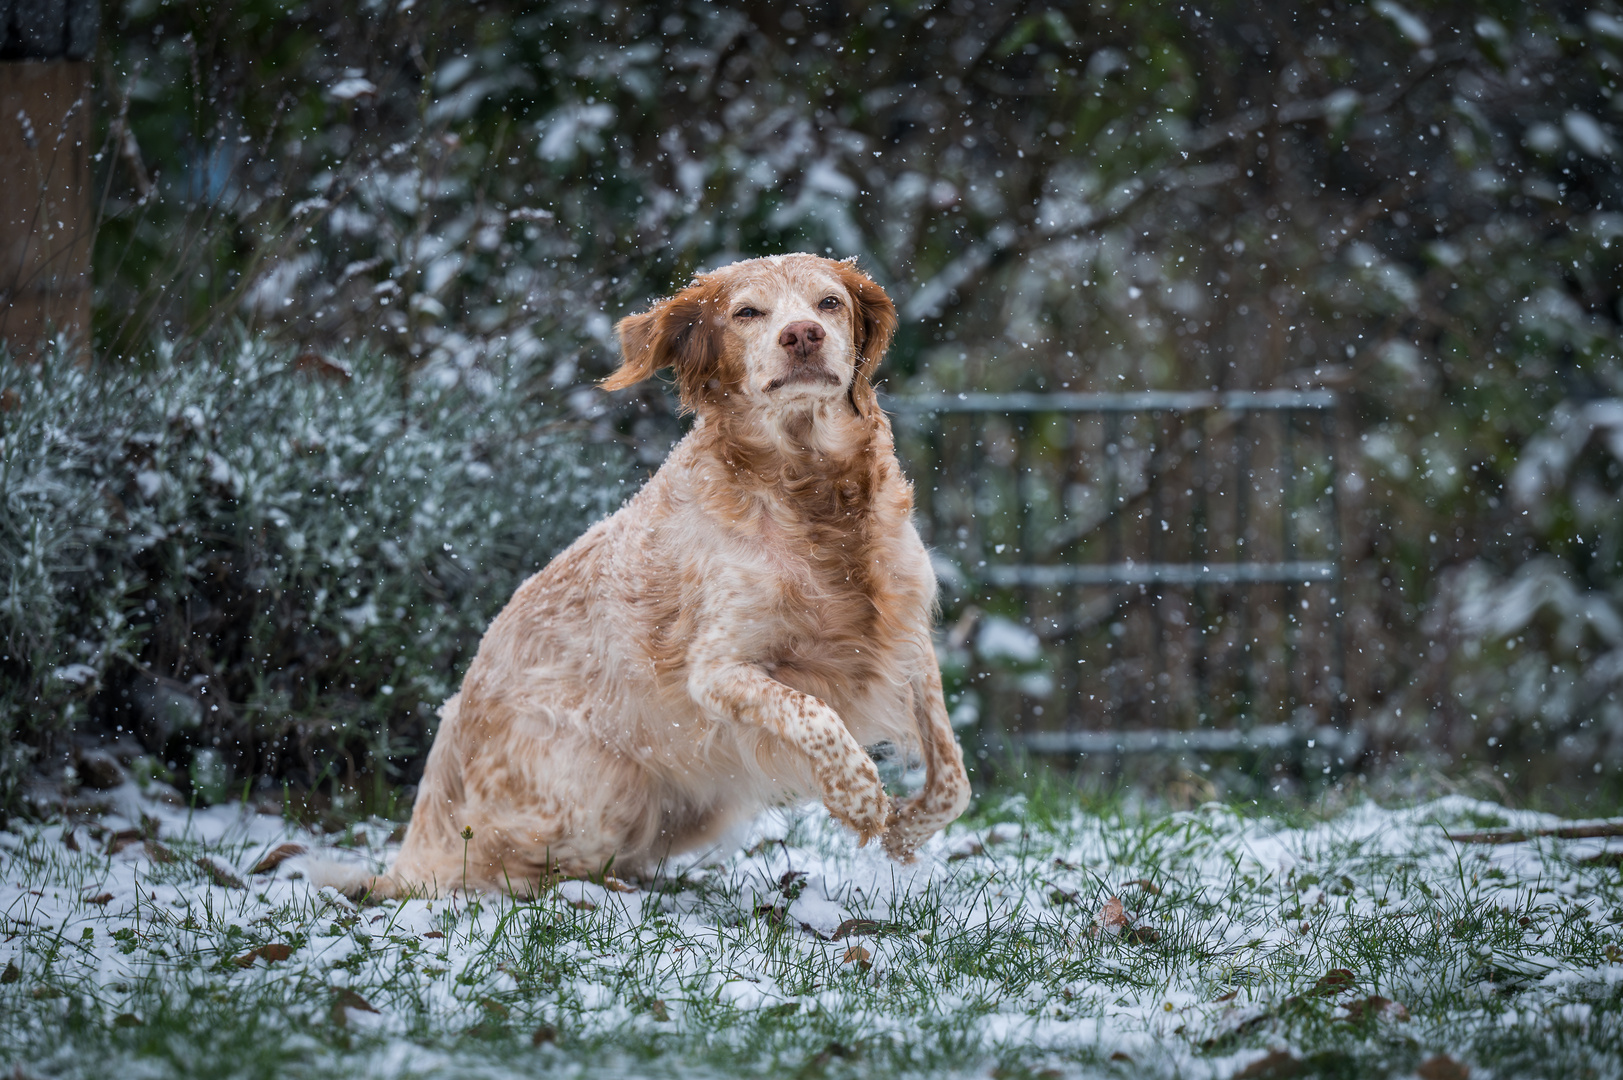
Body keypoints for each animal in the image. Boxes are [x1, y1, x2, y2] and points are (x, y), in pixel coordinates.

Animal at [352, 253, 960, 889]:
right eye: (747, 312)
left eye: (830, 303)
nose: (802, 336)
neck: (813, 493)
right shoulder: (718, 670)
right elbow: (815, 715)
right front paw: (861, 800)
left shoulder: (908, 637)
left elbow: (953, 776)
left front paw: (904, 831)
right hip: (601, 795)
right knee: (499, 866)